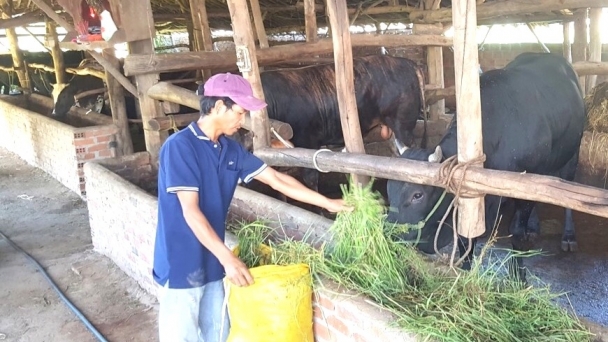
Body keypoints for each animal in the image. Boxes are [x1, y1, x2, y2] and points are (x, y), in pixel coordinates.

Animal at [388, 51, 588, 280]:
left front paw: (518, 276)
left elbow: (516, 232)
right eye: (389, 188)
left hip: (572, 153)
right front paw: (465, 271)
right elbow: (466, 237)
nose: (389, 234)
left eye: (417, 195)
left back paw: (568, 236)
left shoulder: (525, 185)